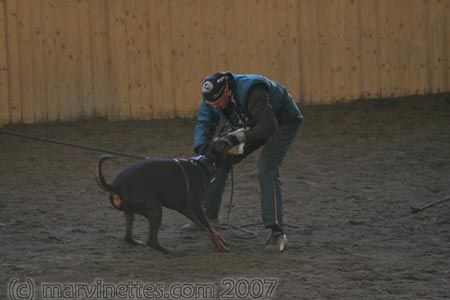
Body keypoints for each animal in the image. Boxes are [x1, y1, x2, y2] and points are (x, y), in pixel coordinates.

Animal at [96, 155, 229, 255]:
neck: (198, 165)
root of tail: (115, 186)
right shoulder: (197, 208)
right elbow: (208, 227)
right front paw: (221, 246)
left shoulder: (187, 210)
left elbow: (207, 228)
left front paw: (220, 241)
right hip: (156, 210)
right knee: (152, 241)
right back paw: (173, 252)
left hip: (130, 212)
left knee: (128, 238)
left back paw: (139, 243)